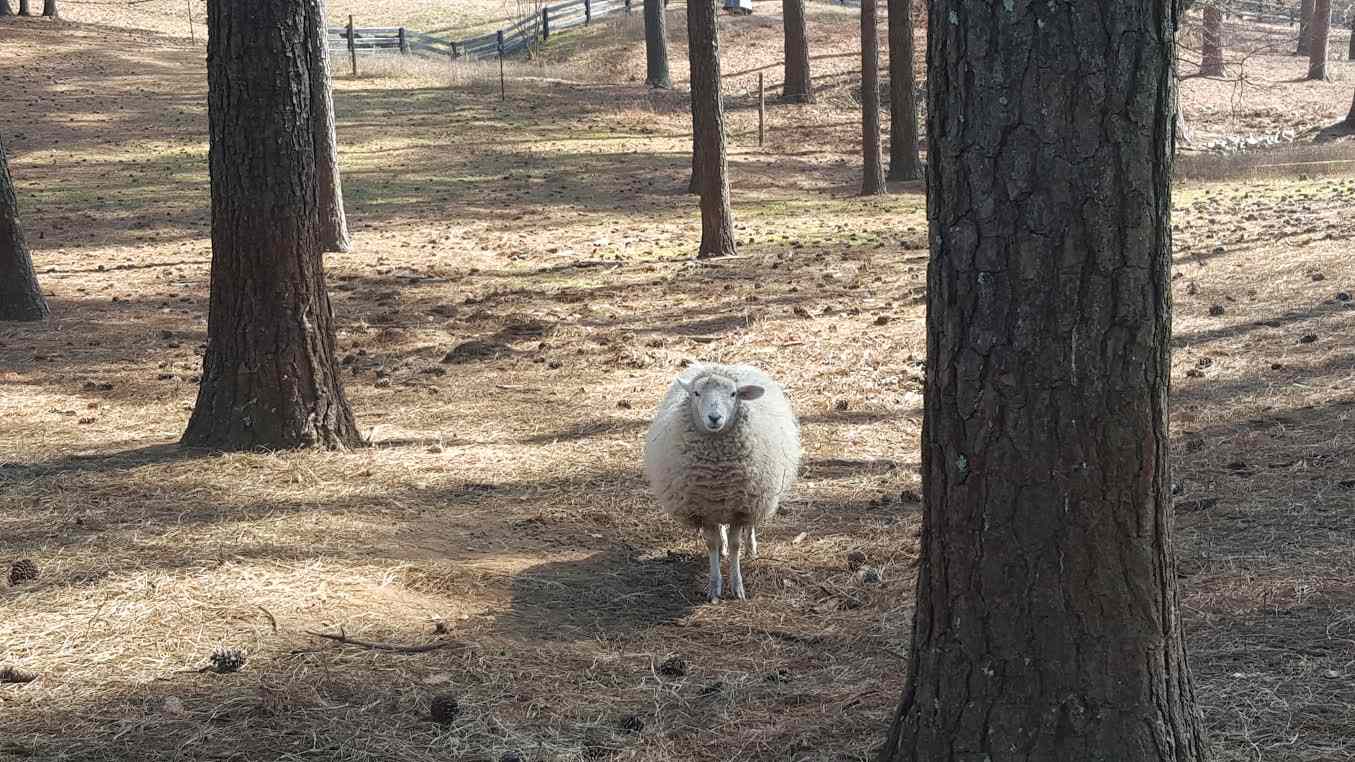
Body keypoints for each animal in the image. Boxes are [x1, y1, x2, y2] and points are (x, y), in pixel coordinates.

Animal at [642, 357, 796, 602]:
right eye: (696, 393)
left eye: (733, 394)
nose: (714, 418)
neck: (717, 473)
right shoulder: (703, 509)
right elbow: (711, 544)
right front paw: (714, 587)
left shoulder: (741, 507)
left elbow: (736, 545)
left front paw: (737, 586)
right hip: (719, 504)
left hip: (754, 497)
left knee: (750, 527)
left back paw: (751, 548)